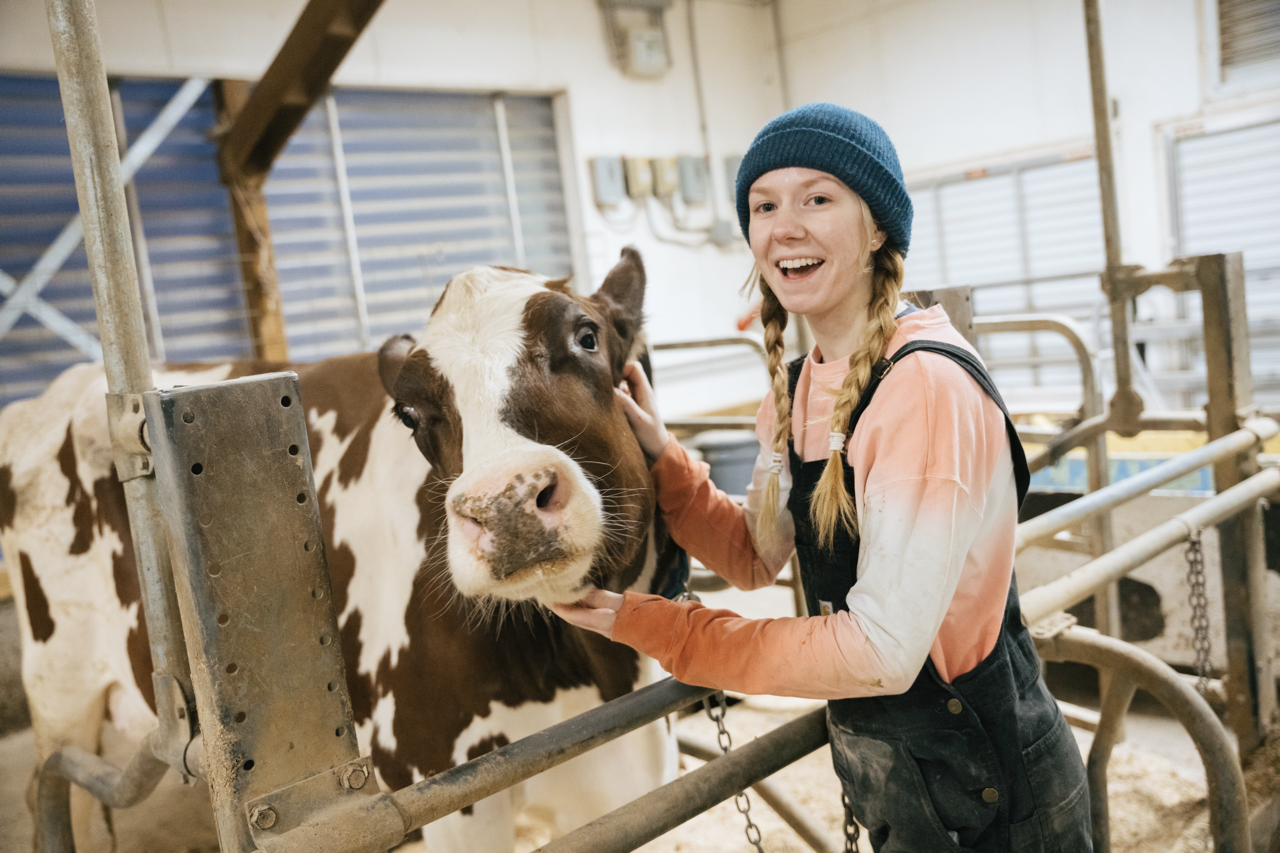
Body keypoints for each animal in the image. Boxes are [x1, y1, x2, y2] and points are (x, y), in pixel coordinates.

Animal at [0, 247, 686, 850]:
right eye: (409, 412)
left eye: (587, 337)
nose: (506, 503)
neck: (591, 671)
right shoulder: (450, 792)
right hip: (60, 686)